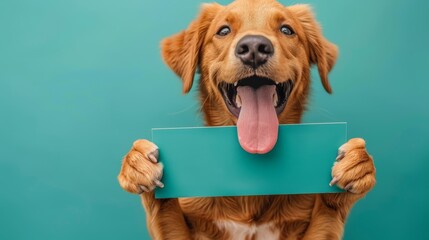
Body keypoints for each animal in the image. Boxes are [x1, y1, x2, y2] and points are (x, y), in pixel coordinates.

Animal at [117, 0, 374, 239]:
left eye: (287, 29)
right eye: (223, 30)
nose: (254, 48)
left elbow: (328, 210)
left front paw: (356, 164)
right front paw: (138, 163)